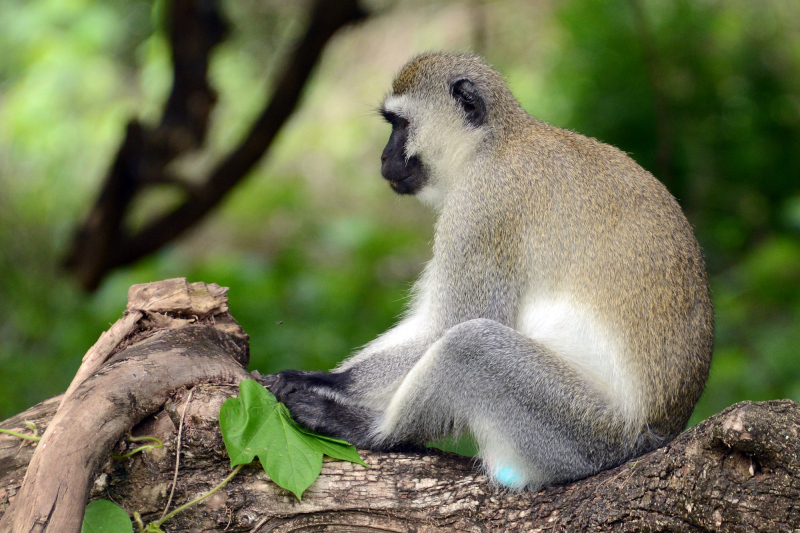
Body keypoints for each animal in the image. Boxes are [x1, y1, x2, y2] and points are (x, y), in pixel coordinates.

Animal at [266, 52, 716, 488]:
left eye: (401, 124)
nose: (384, 157)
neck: (492, 142)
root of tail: (657, 434)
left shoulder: (482, 205)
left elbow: (451, 324)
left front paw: (329, 383)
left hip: (585, 434)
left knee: (470, 344)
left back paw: (373, 432)